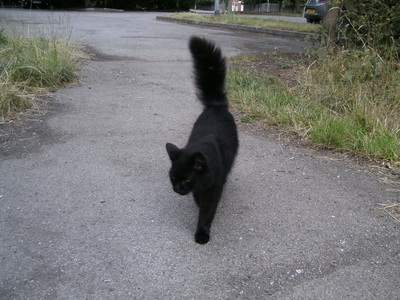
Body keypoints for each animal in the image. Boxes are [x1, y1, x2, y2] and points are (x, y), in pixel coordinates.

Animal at [165, 37, 238, 244]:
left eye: (187, 178)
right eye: (173, 178)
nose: (177, 189)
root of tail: (216, 105)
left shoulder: (212, 191)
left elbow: (207, 212)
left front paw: (202, 233)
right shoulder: (199, 190)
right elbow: (199, 202)